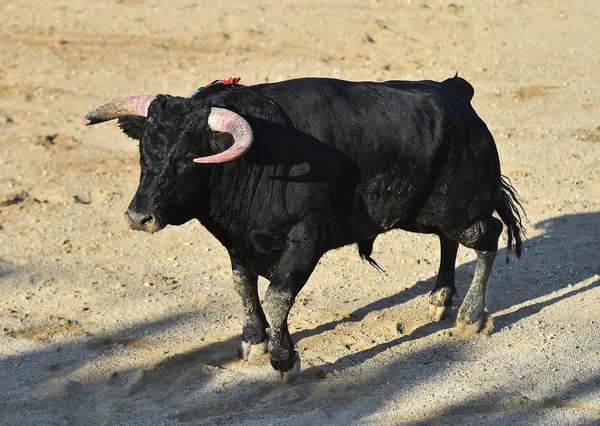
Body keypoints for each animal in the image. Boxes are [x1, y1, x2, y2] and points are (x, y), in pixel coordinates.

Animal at [84, 76, 524, 382]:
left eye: (189, 158)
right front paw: (254, 341)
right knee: (449, 241)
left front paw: (285, 360)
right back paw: (439, 299)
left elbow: (279, 296)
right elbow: (243, 286)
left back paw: (469, 318)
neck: (261, 159)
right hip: (423, 215)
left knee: (487, 235)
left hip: (460, 209)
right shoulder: (237, 243)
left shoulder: (304, 241)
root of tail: (455, 92)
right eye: (144, 151)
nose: (139, 217)